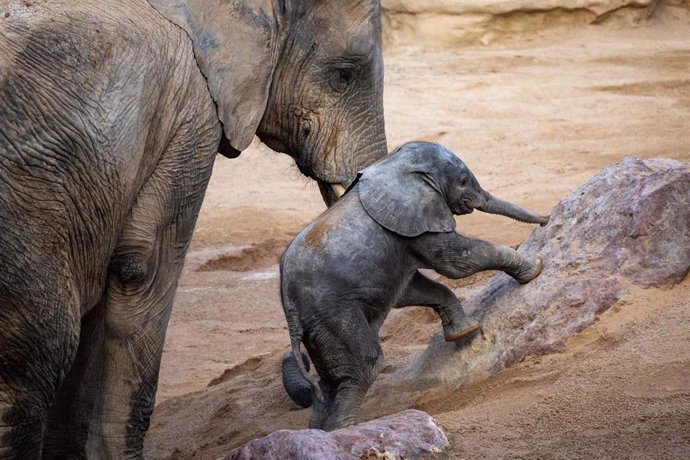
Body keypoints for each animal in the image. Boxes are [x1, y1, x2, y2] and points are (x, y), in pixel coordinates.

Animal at [280, 141, 548, 432]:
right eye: (463, 181)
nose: (546, 219)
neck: (396, 166)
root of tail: (289, 304)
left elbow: (413, 290)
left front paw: (464, 332)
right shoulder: (416, 219)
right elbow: (455, 262)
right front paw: (536, 267)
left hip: (316, 327)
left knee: (329, 379)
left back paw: (319, 429)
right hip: (332, 312)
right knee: (365, 363)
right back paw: (342, 428)